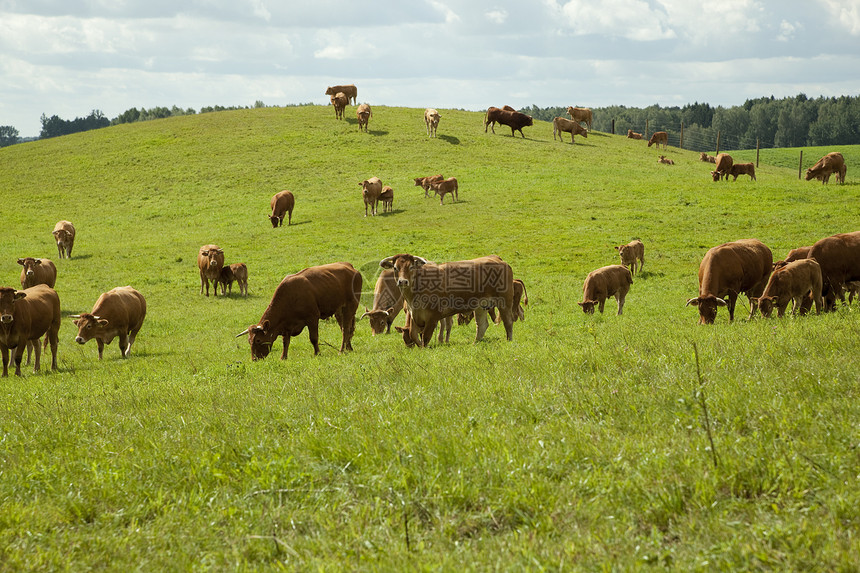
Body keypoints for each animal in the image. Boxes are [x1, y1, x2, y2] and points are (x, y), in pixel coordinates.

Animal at [233, 262, 362, 360]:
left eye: (258, 340)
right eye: (249, 341)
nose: (254, 359)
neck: (290, 296)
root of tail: (351, 268)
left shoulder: (312, 318)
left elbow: (313, 338)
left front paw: (317, 353)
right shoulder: (286, 326)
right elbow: (285, 342)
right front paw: (283, 357)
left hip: (350, 307)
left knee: (346, 329)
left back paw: (341, 350)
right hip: (339, 311)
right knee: (346, 329)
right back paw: (348, 348)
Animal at [380, 254, 512, 344]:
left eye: (411, 267)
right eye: (395, 268)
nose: (403, 281)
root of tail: (496, 259)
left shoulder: (432, 318)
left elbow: (425, 339)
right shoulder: (415, 316)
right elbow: (414, 335)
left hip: (504, 301)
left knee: (508, 322)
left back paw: (508, 340)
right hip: (481, 305)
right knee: (482, 325)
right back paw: (475, 343)